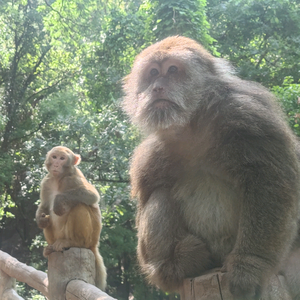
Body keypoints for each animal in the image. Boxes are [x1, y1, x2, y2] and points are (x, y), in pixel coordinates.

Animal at [36, 145, 106, 290]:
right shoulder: (46, 182)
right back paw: (50, 248)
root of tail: (94, 244)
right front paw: (40, 219)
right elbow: (44, 205)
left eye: (62, 158)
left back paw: (75, 242)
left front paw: (59, 200)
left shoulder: (73, 179)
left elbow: (92, 196)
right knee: (49, 220)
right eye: (54, 157)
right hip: (58, 236)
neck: (58, 179)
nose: (56, 164)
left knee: (79, 206)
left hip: (88, 237)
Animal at [122, 36, 300, 298]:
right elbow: (148, 198)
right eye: (153, 73)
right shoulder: (151, 156)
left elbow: (270, 182)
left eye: (172, 70)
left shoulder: (249, 117)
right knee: (160, 195)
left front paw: (250, 265)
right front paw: (165, 269)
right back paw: (180, 263)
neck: (193, 124)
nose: (157, 88)